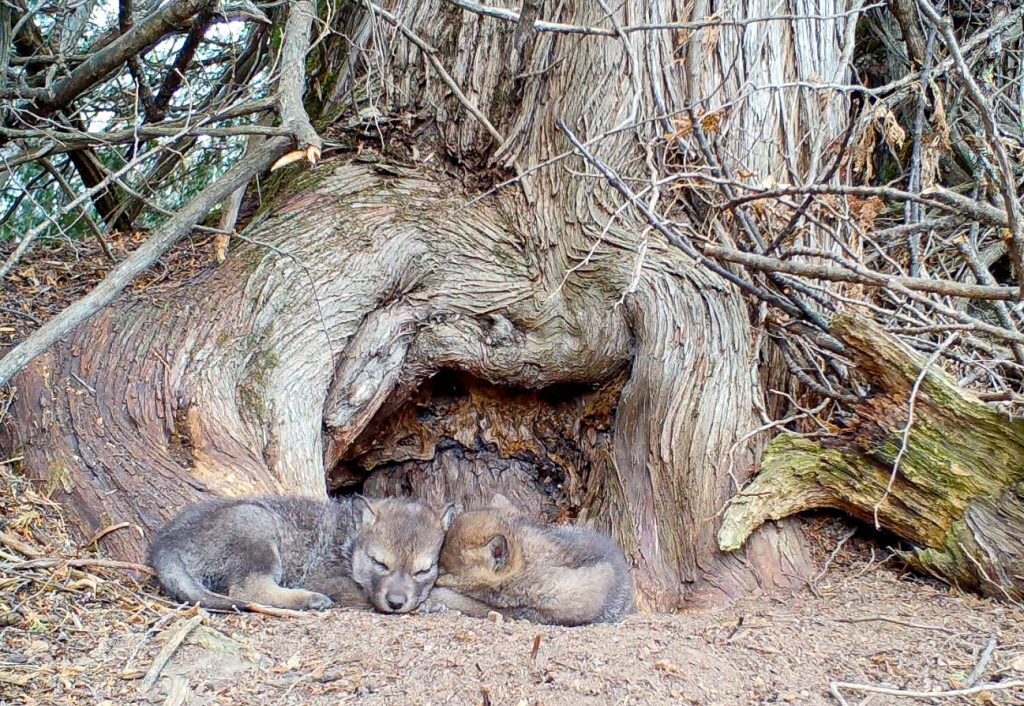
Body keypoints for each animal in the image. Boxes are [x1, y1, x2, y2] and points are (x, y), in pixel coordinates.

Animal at [147, 494, 454, 613]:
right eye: (379, 563)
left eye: (422, 570)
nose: (396, 603)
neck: (348, 542)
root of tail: (166, 543)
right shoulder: (324, 577)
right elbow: (364, 594)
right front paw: (430, 603)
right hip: (257, 524)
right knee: (250, 590)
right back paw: (309, 599)